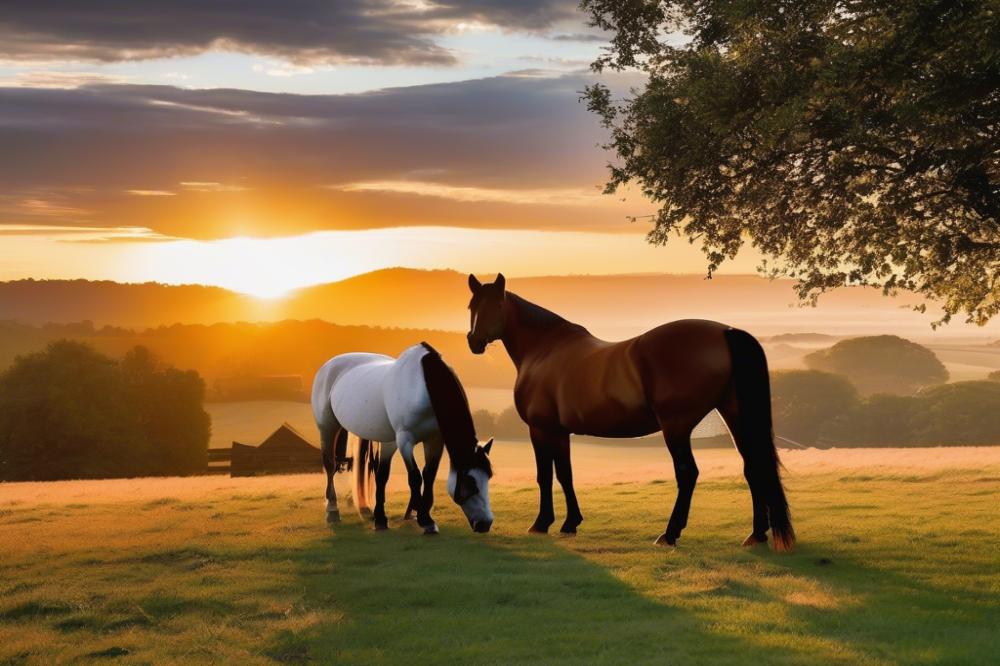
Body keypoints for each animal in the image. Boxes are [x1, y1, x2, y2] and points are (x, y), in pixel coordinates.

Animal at [311, 342, 495, 534]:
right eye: (470, 483)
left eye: (488, 477)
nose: (485, 524)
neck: (422, 385)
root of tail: (328, 365)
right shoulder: (404, 441)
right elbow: (414, 477)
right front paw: (424, 520)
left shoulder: (434, 440)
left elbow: (427, 475)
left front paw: (386, 519)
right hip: (327, 426)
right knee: (330, 465)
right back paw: (332, 511)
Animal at [465, 273, 794, 551]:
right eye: (472, 305)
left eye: (497, 305)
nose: (474, 341)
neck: (544, 350)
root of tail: (726, 332)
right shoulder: (560, 432)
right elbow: (565, 475)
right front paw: (570, 523)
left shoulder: (541, 429)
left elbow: (545, 476)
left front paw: (541, 523)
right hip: (734, 415)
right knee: (753, 466)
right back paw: (756, 534)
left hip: (676, 427)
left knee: (688, 473)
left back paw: (669, 534)